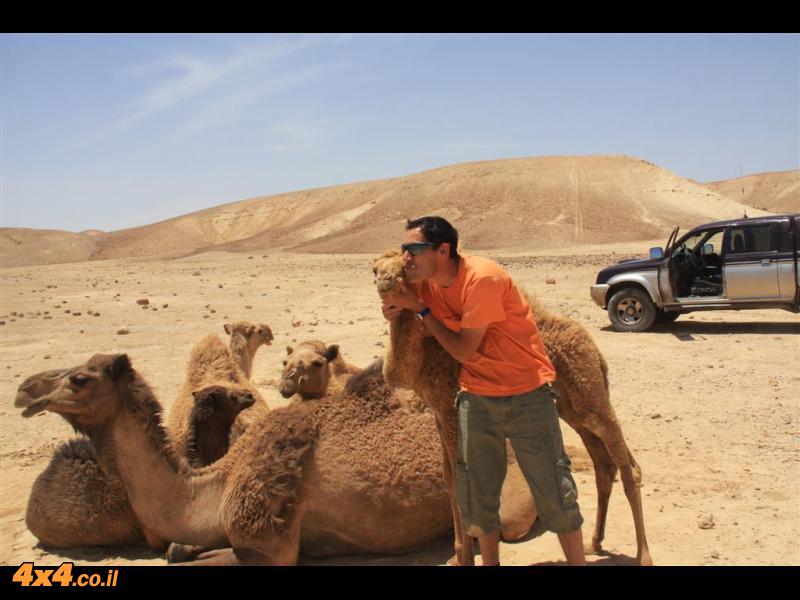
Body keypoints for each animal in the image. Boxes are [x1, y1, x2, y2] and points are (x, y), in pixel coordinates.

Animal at [372, 250, 652, 568]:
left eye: (404, 270)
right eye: (375, 270)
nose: (385, 282)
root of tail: (595, 350)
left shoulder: (451, 408)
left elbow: (460, 481)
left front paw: (465, 557)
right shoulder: (439, 413)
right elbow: (448, 478)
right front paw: (457, 556)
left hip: (590, 397)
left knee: (628, 468)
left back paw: (643, 555)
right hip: (572, 409)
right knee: (605, 466)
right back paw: (594, 543)